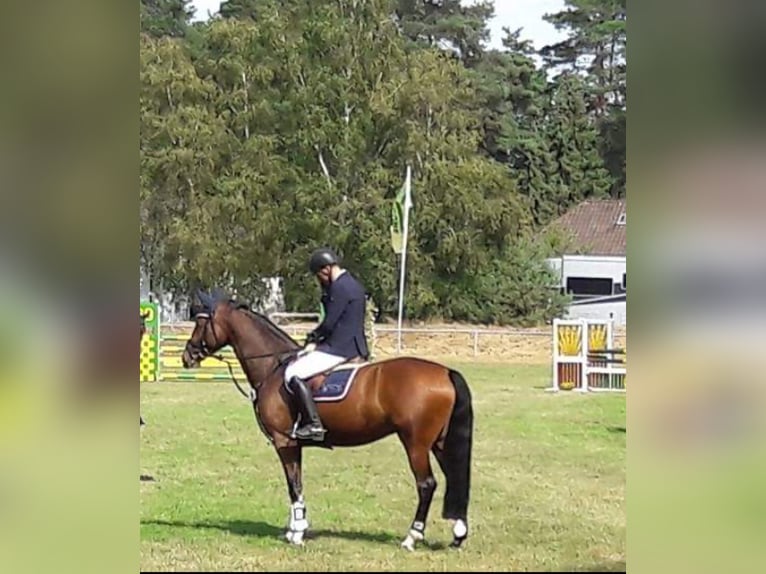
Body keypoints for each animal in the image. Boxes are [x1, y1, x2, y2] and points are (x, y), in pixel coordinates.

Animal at [183, 292, 476, 552]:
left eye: (201, 323)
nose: (187, 356)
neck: (274, 367)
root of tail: (445, 372)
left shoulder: (284, 442)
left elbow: (294, 485)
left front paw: (297, 533)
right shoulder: (293, 444)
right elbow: (297, 483)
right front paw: (295, 528)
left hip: (415, 443)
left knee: (426, 484)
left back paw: (411, 538)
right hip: (439, 442)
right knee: (454, 478)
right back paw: (458, 535)